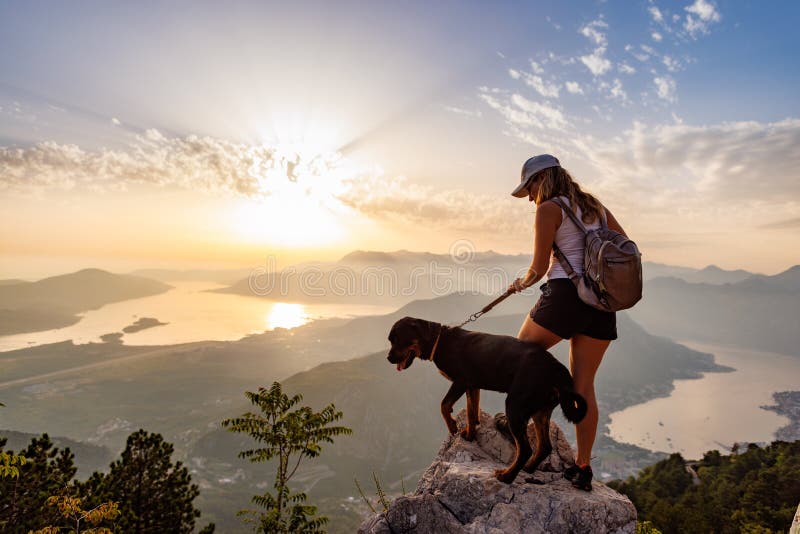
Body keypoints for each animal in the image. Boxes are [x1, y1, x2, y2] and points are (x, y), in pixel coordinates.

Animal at [388, 316, 588, 488]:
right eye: (390, 340)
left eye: (397, 339)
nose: (388, 358)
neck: (440, 341)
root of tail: (558, 371)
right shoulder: (472, 386)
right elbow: (471, 410)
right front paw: (470, 433)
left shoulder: (461, 382)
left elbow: (444, 405)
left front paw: (453, 426)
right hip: (541, 412)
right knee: (545, 447)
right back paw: (529, 468)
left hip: (515, 405)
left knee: (525, 450)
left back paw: (507, 476)